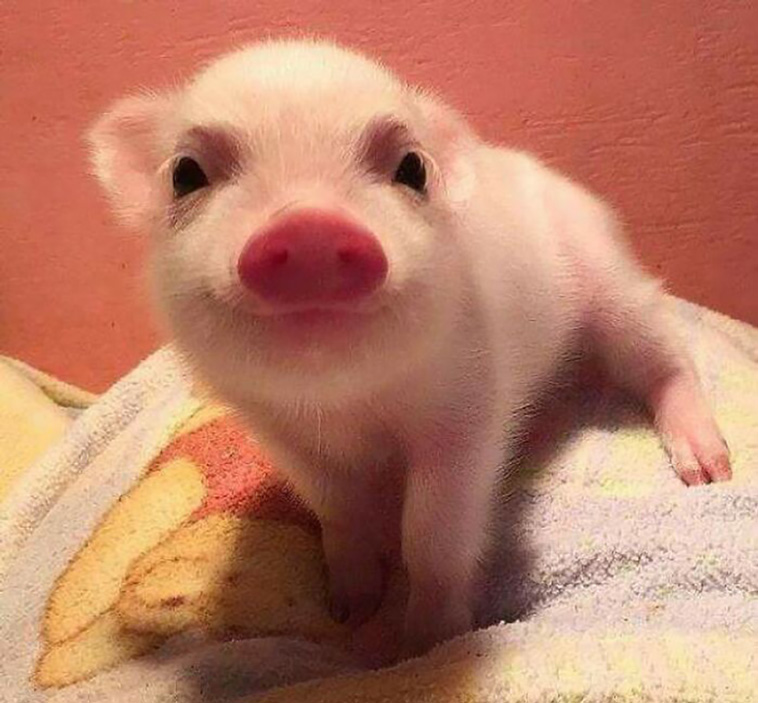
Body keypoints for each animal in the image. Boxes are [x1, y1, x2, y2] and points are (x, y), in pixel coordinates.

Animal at [88, 39, 731, 655]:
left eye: (412, 168)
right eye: (185, 174)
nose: (310, 225)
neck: (343, 406)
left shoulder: (467, 411)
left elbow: (433, 532)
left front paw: (424, 646)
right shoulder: (279, 432)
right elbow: (338, 510)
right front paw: (349, 611)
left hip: (612, 282)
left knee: (666, 352)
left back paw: (709, 471)